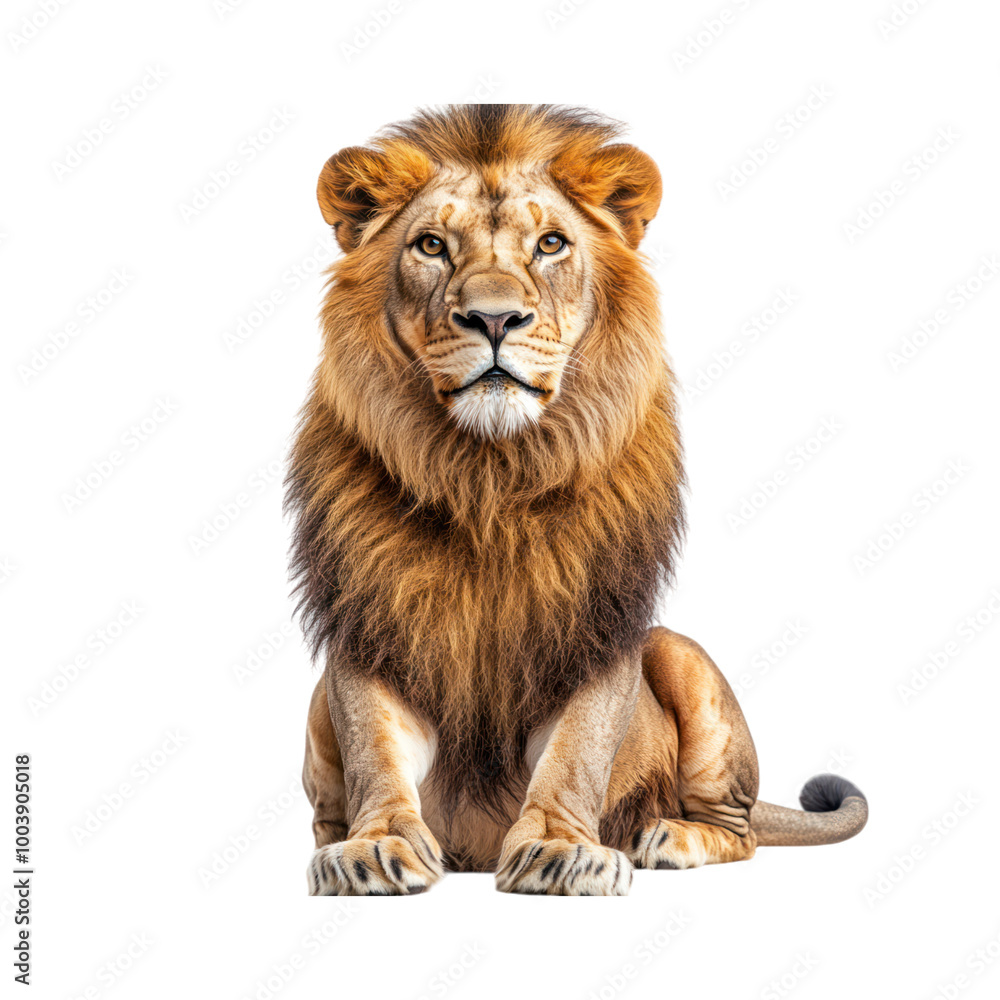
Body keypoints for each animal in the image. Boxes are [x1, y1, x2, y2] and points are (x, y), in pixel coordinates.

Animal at [289, 105, 867, 896]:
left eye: (551, 244)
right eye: (432, 246)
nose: (494, 319)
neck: (487, 475)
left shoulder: (599, 621)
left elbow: (576, 751)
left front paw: (562, 850)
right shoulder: (365, 618)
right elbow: (374, 746)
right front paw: (374, 846)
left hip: (681, 658)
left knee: (740, 830)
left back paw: (666, 837)